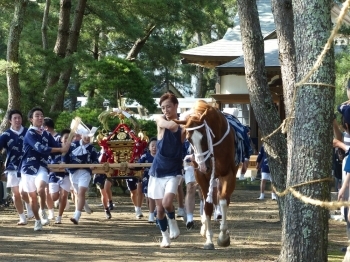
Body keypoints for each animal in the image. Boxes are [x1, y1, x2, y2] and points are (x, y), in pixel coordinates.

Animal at [176, 100, 239, 250]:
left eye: (204, 136)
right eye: (189, 139)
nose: (203, 166)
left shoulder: (228, 173)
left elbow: (223, 201)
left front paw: (223, 236)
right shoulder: (200, 175)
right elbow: (208, 205)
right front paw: (209, 239)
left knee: (223, 198)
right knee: (204, 199)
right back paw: (204, 227)